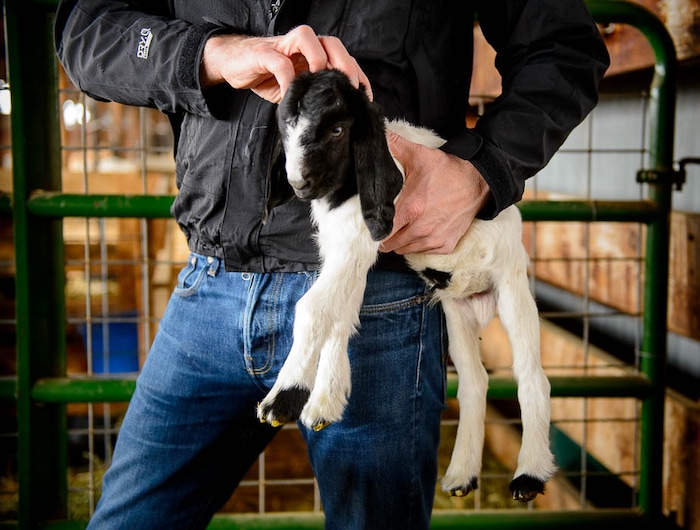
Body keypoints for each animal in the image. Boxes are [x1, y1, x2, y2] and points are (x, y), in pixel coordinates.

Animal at [257, 69, 556, 502]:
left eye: (337, 129)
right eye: (285, 128)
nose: (299, 183)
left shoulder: (357, 241)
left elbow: (313, 310)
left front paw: (284, 397)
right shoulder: (348, 252)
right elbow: (339, 317)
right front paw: (326, 400)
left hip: (513, 286)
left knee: (531, 375)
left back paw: (529, 475)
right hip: (457, 310)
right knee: (474, 380)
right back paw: (462, 474)